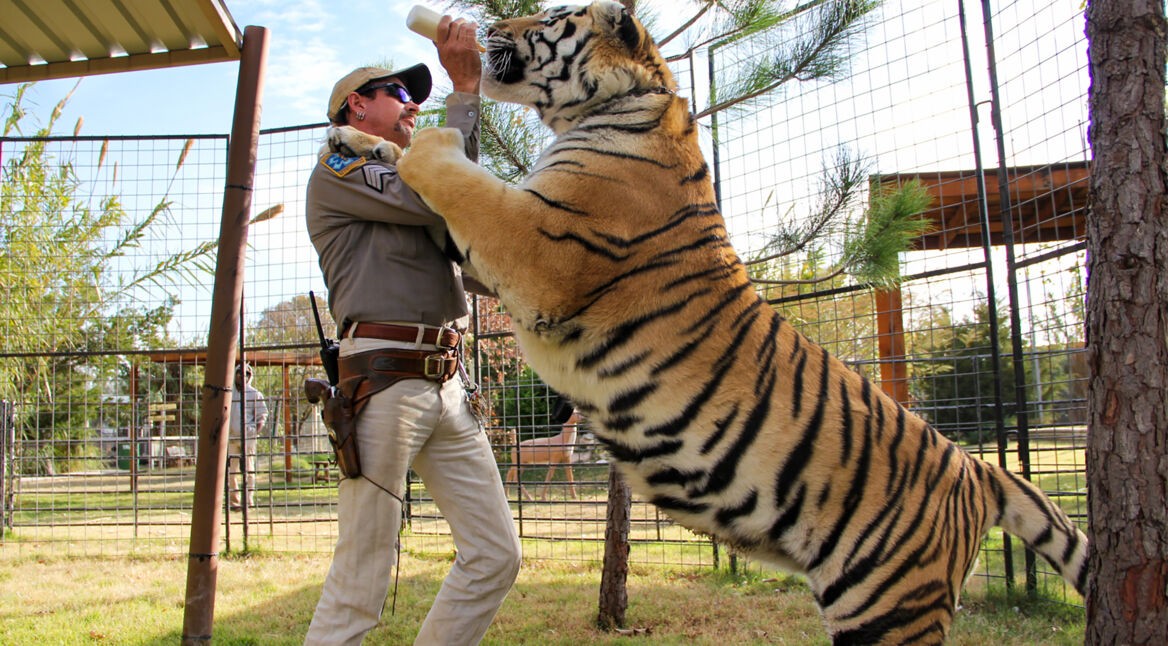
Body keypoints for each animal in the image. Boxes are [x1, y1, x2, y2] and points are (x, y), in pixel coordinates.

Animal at [330, 2, 1088, 643]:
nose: (486, 25)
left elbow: (450, 170)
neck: (616, 106)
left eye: (546, 18)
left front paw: (417, 137)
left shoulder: (536, 245)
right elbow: (411, 170)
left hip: (889, 606)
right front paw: (350, 135)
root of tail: (976, 469)